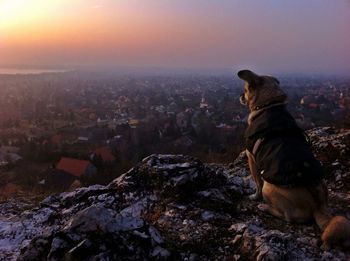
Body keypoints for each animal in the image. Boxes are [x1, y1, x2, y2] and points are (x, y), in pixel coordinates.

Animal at [238, 69, 350, 250]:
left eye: (246, 89)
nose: (240, 96)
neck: (269, 106)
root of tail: (318, 205)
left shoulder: (251, 159)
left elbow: (256, 183)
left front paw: (254, 197)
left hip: (270, 187)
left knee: (287, 216)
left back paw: (265, 207)